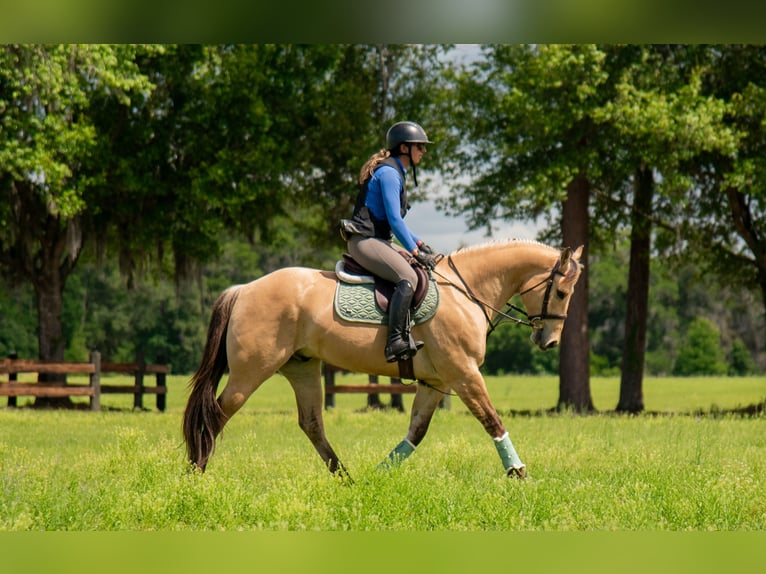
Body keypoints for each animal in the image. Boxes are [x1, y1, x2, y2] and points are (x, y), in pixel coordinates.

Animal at [182, 239, 583, 480]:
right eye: (563, 293)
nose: (549, 341)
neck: (466, 292)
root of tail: (244, 289)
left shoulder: (436, 383)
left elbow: (416, 433)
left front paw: (379, 475)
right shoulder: (465, 374)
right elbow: (492, 421)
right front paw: (519, 473)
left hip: (303, 369)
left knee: (312, 424)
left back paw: (346, 480)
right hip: (251, 373)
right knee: (215, 415)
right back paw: (194, 475)